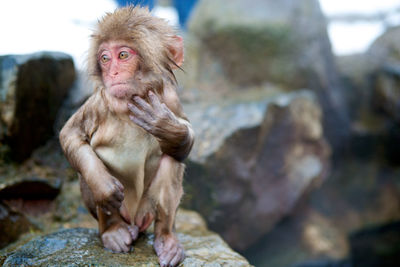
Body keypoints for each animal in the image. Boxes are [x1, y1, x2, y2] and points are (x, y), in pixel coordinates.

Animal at [59, 6, 195, 267]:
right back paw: (114, 231)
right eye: (104, 58)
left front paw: (165, 126)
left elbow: (186, 138)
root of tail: (133, 221)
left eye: (123, 55)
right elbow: (70, 135)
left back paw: (166, 239)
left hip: (146, 211)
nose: (112, 72)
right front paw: (103, 186)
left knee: (172, 158)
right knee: (93, 157)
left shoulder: (169, 98)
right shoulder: (98, 102)